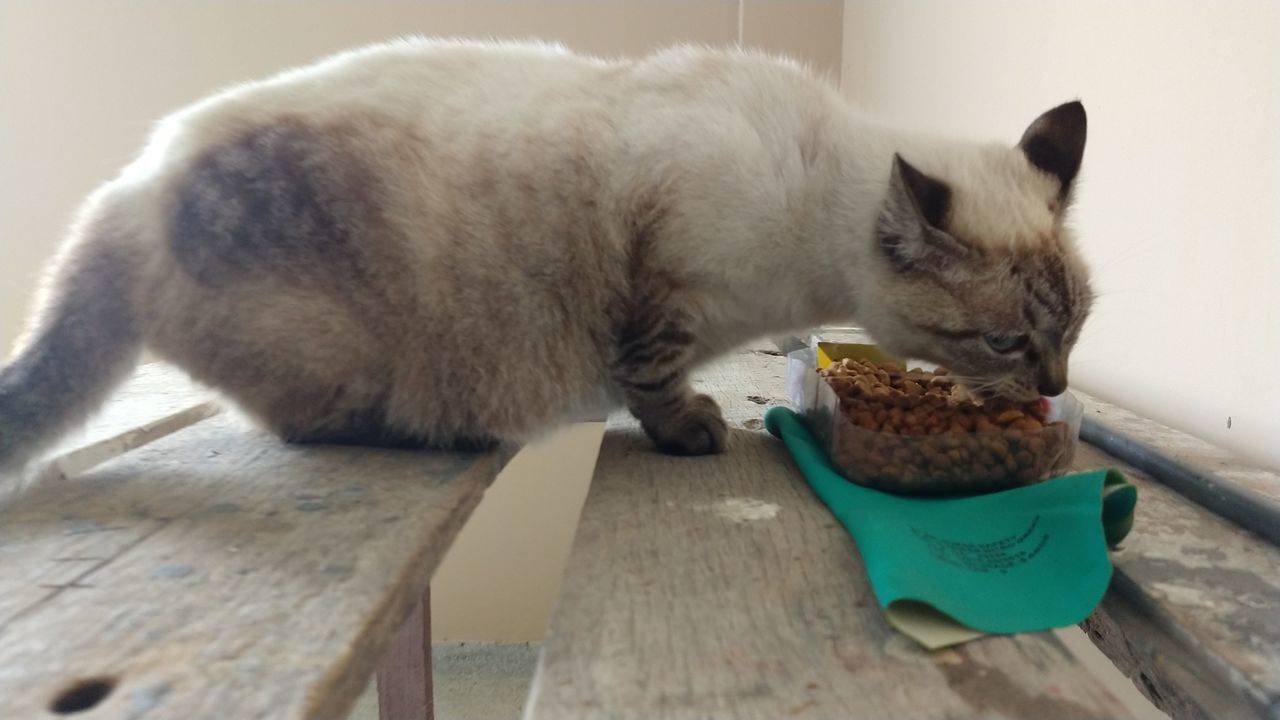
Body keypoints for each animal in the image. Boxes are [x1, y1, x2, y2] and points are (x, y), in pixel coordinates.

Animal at [0, 38, 1091, 472]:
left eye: (1072, 332)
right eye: (1005, 343)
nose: (1053, 387)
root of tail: (129, 187)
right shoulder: (663, 298)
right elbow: (654, 382)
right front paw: (692, 433)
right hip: (334, 347)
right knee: (308, 427)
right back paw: (446, 435)